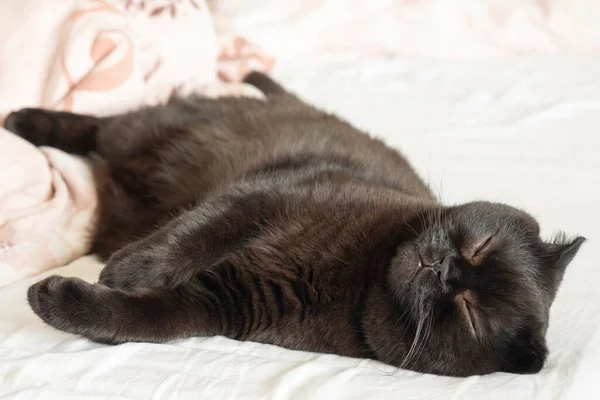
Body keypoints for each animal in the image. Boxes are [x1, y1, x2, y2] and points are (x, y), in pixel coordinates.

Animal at [3, 72, 584, 378]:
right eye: (480, 244)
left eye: (468, 311)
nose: (446, 271)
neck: (359, 276)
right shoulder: (264, 195)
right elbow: (188, 236)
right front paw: (129, 269)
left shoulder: (222, 301)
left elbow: (141, 320)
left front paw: (60, 299)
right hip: (146, 132)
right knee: (94, 127)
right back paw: (22, 120)